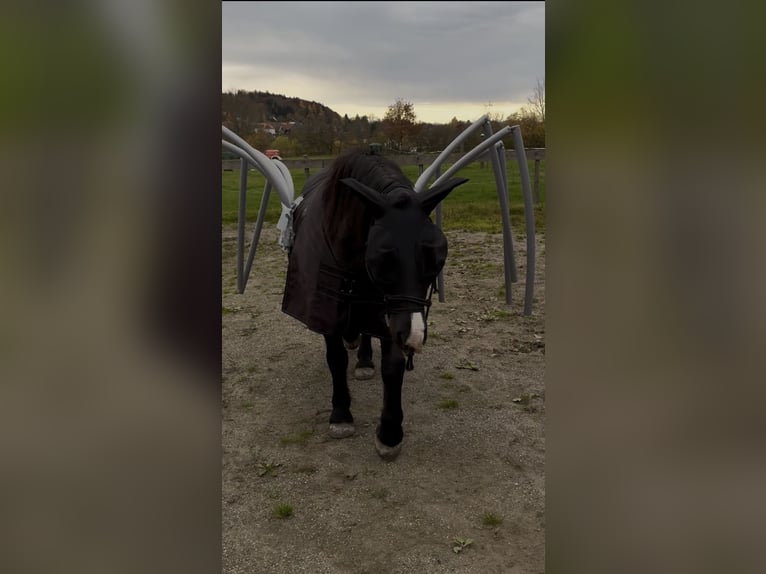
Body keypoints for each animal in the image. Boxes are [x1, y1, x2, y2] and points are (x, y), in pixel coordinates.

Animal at [281, 150, 468, 459]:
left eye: (436, 257)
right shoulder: (327, 308)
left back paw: (365, 359)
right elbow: (336, 359)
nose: (414, 336)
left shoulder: (389, 309)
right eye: (384, 257)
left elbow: (392, 366)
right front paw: (341, 414)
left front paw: (390, 433)